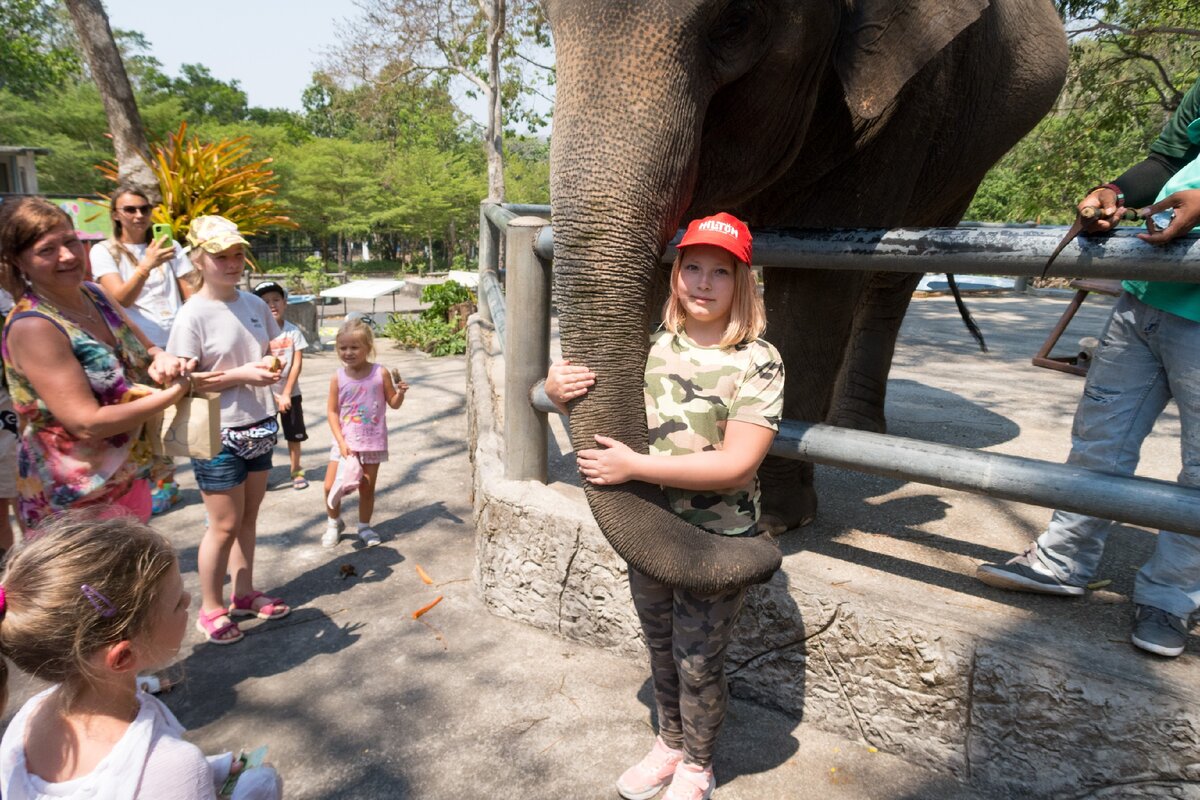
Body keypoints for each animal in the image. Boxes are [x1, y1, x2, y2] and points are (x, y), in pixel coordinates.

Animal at [544, 0, 1070, 587]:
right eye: (548, 23)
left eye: (735, 23)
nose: (761, 557)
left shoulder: (910, 101)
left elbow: (816, 280)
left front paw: (777, 520)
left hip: (964, 169)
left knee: (891, 279)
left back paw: (855, 427)